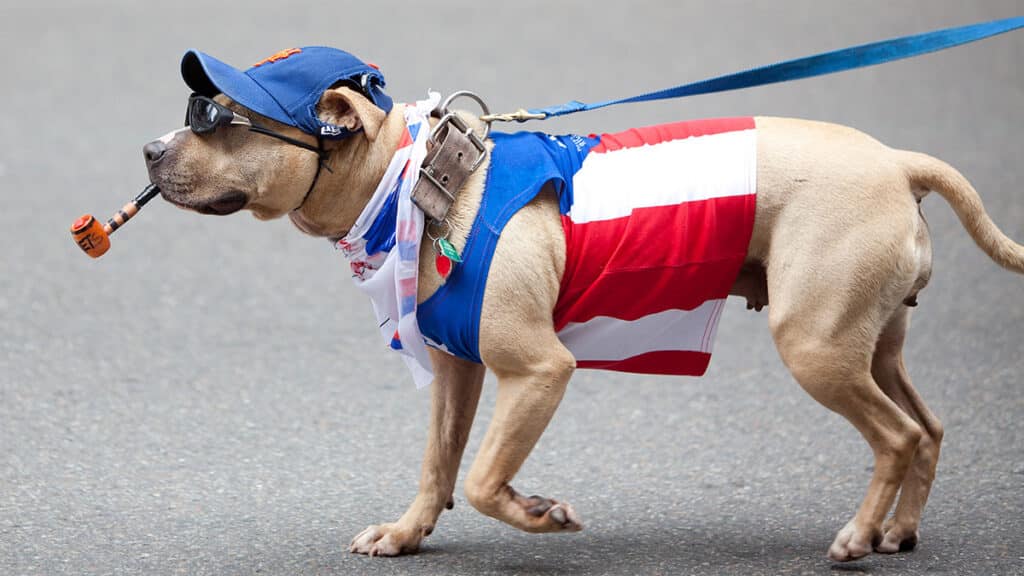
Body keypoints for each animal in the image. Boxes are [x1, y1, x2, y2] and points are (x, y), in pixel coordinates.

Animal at [144, 83, 1024, 557]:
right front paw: (406, 533)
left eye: (221, 120)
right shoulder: (459, 373)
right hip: (866, 347)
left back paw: (857, 537)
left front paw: (536, 512)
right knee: (929, 429)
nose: (150, 149)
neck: (417, 181)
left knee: (898, 437)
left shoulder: (539, 371)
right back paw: (897, 532)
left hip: (816, 348)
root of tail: (898, 163)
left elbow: (484, 478)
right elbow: (439, 466)